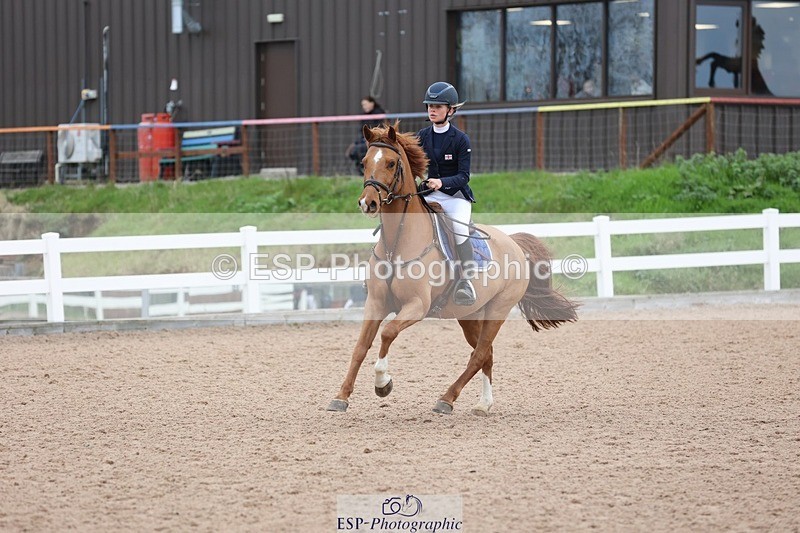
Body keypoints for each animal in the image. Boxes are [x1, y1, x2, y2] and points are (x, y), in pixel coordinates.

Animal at [327, 122, 579, 415]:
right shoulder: (376, 303)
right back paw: (483, 403)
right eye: (365, 162)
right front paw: (341, 397)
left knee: (480, 354)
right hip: (469, 315)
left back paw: (447, 399)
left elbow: (388, 333)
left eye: (390, 163)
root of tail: (514, 243)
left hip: (497, 310)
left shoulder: (416, 306)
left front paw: (383, 383)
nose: (368, 203)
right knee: (485, 354)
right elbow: (360, 347)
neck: (396, 243)